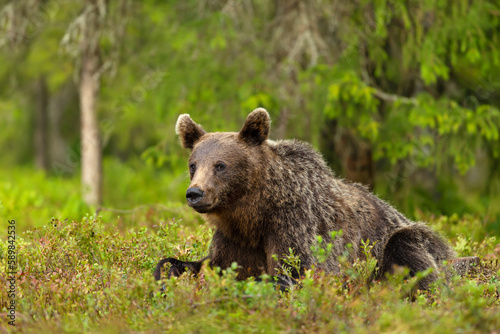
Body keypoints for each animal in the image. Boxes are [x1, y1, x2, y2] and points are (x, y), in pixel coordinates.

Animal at [154, 107, 456, 290]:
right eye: (193, 165)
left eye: (220, 165)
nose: (195, 193)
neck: (251, 213)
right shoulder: (234, 238)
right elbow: (211, 264)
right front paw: (168, 269)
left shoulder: (294, 224)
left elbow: (294, 272)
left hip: (407, 239)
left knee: (409, 251)